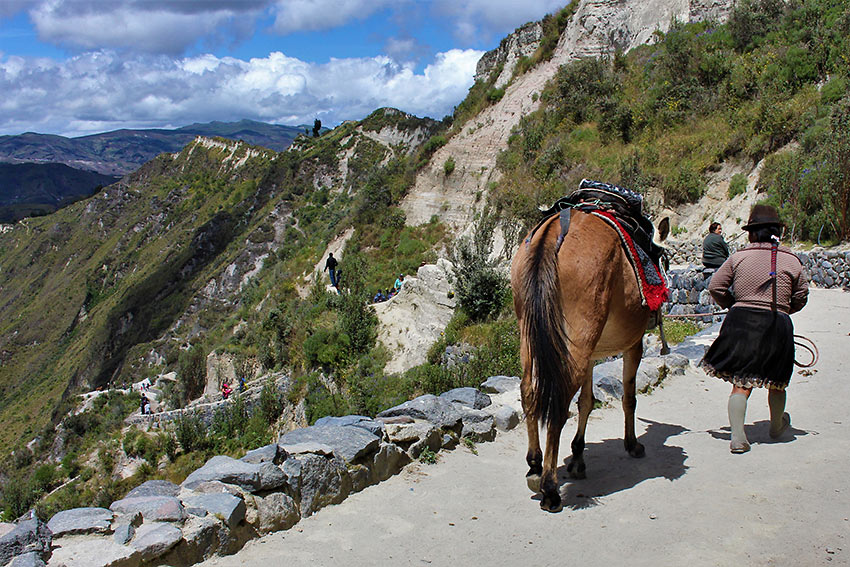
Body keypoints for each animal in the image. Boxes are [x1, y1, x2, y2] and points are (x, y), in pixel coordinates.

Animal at [510, 211, 664, 512]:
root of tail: (550, 236)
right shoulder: (633, 344)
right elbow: (629, 397)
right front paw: (632, 444)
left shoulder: (591, 353)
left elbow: (586, 402)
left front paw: (578, 458)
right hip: (577, 336)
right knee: (558, 402)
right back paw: (550, 488)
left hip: (531, 333)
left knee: (529, 390)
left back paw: (534, 467)